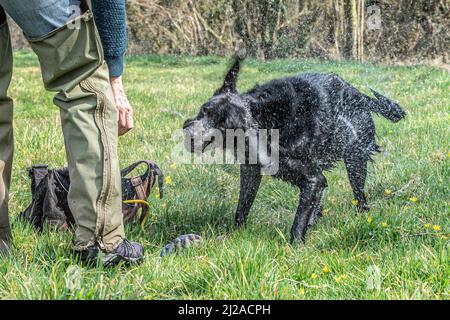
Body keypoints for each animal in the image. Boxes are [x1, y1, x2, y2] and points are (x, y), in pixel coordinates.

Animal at [181, 58, 406, 244]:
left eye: (224, 124)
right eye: (205, 110)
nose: (189, 133)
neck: (266, 119)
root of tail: (360, 95)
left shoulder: (313, 178)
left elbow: (298, 220)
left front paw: (295, 248)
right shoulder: (250, 171)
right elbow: (242, 208)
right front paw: (235, 236)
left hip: (355, 160)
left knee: (360, 199)